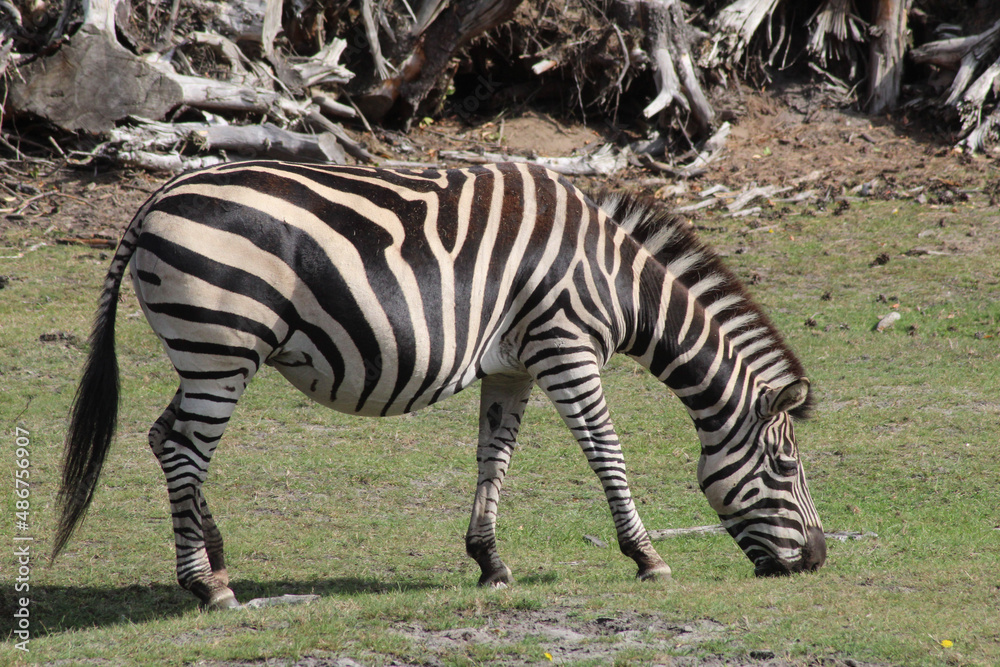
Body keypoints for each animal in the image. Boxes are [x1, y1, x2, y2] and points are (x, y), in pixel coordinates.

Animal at [50, 160, 824, 612]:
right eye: (786, 466)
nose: (817, 560)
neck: (615, 280)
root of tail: (155, 198)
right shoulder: (566, 345)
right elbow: (607, 452)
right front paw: (648, 556)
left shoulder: (512, 364)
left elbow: (494, 459)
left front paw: (490, 561)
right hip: (222, 345)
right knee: (185, 448)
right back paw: (206, 584)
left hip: (205, 351)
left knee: (164, 437)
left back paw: (214, 550)